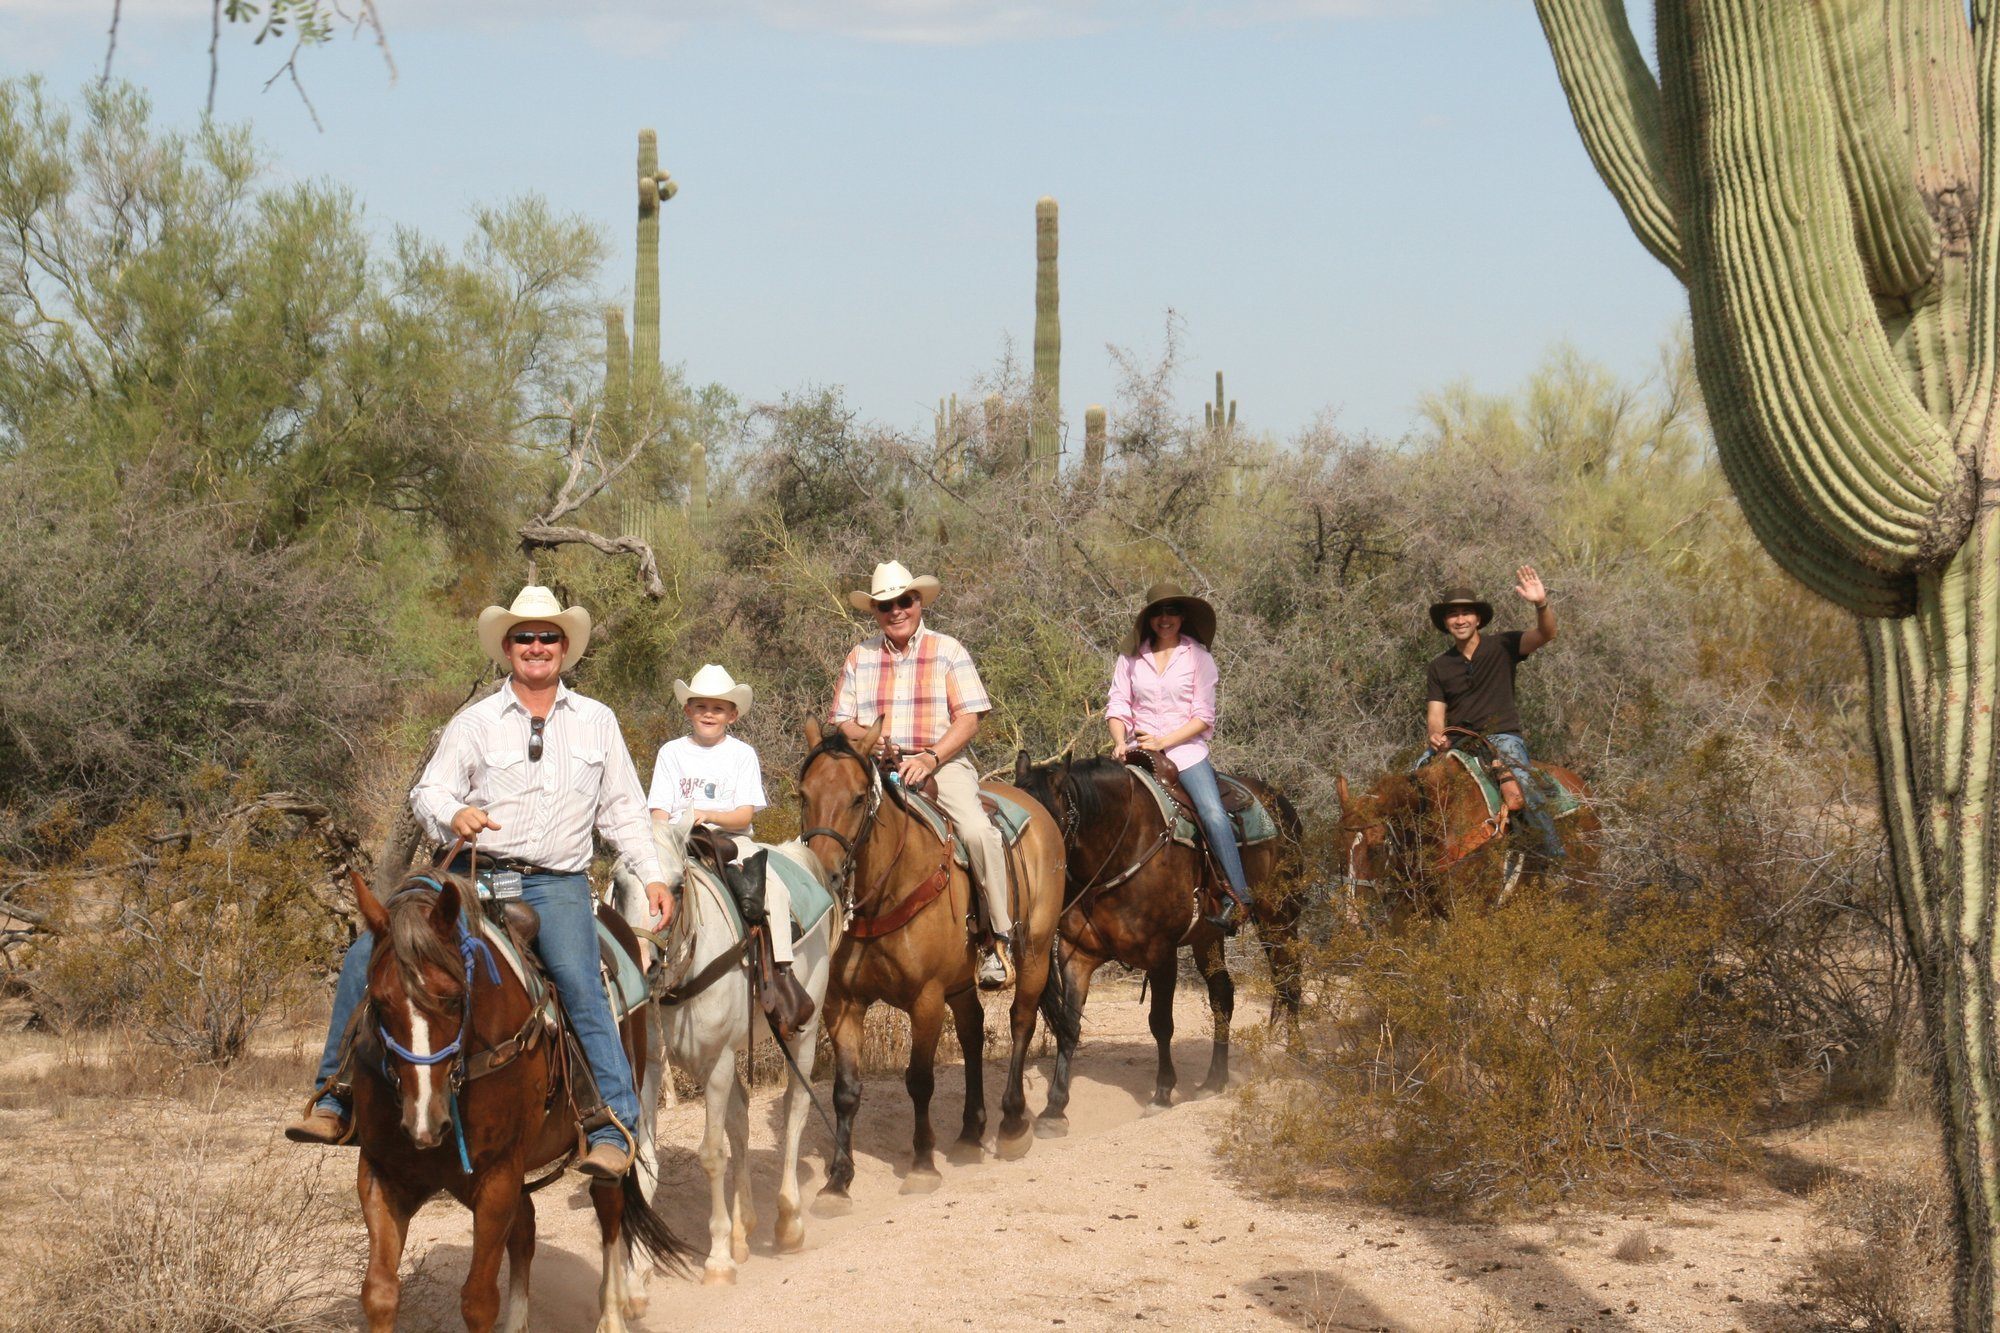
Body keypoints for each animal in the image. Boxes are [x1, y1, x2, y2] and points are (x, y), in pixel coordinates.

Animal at [344, 868, 688, 1320]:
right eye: (380, 1003)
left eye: (453, 998)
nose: (424, 1123)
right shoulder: (383, 1174)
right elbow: (380, 1293)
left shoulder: (498, 1176)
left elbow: (478, 1300)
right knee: (526, 1228)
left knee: (608, 1206)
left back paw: (611, 1313)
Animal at [608, 816, 828, 1280]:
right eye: (619, 883)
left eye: (676, 887)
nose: (642, 963)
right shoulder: (651, 1068)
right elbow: (647, 1161)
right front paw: (637, 1275)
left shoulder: (720, 1061)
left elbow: (711, 1154)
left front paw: (718, 1257)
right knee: (741, 1119)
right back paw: (745, 1228)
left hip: (804, 1035)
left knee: (795, 1111)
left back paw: (789, 1220)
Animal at [800, 716, 1080, 1216]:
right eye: (802, 795)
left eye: (857, 797)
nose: (825, 876)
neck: (885, 892)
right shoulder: (843, 1004)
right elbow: (846, 1091)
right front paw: (837, 1182)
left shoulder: (925, 999)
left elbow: (920, 1080)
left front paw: (922, 1166)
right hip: (961, 984)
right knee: (972, 1032)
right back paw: (970, 1133)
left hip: (1032, 954)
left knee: (1021, 1022)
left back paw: (1012, 1124)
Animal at [1016, 752, 1312, 1112]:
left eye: (1046, 825)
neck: (1118, 851)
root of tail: (1281, 803)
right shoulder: (1076, 953)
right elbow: (1069, 1024)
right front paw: (1055, 1106)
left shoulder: (1161, 953)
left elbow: (1160, 1023)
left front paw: (1162, 1093)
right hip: (1208, 937)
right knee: (1223, 994)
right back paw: (1214, 1080)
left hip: (1279, 917)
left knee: (1289, 982)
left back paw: (1297, 1059)